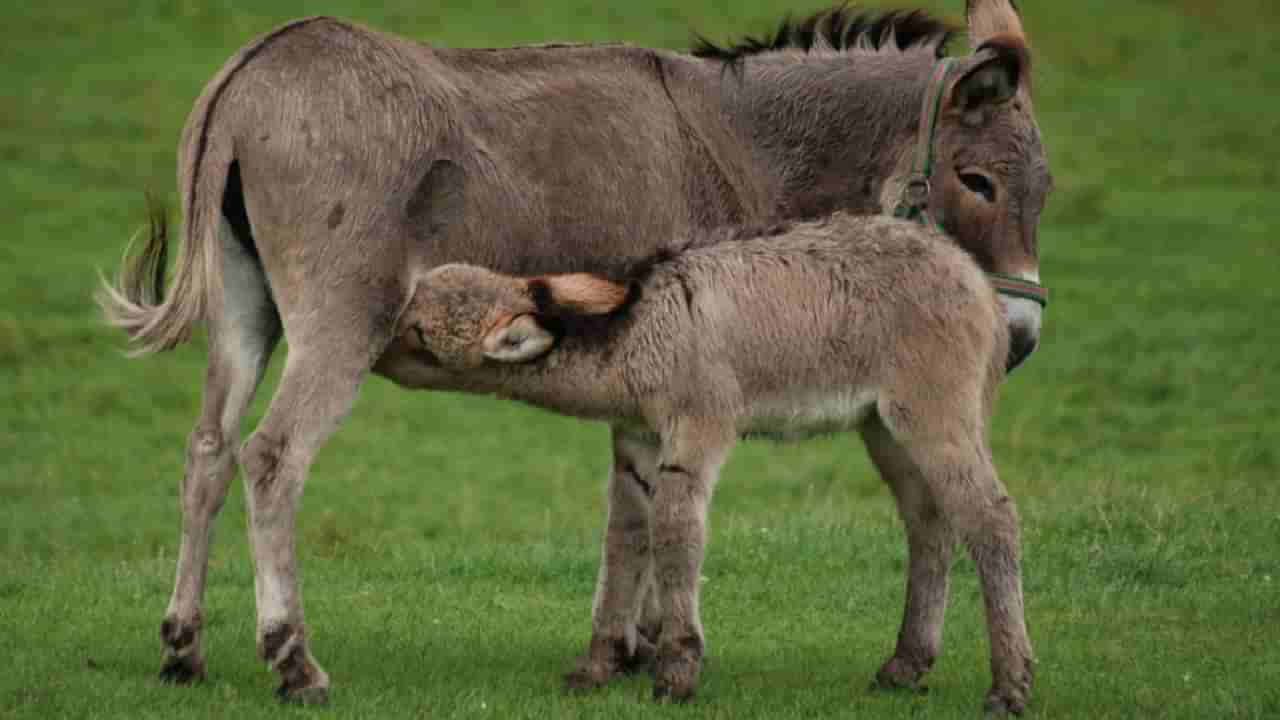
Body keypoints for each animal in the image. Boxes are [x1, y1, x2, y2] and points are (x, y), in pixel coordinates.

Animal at [391, 211, 1039, 707]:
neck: (639, 332)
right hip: (884, 428)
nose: (375, 343)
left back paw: (1009, 684)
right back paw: (905, 665)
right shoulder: (637, 442)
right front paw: (598, 665)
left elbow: (677, 533)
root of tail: (976, 278)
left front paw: (678, 672)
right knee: (930, 524)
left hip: (934, 413)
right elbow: (626, 539)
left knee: (990, 519)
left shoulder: (697, 429)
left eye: (419, 332)